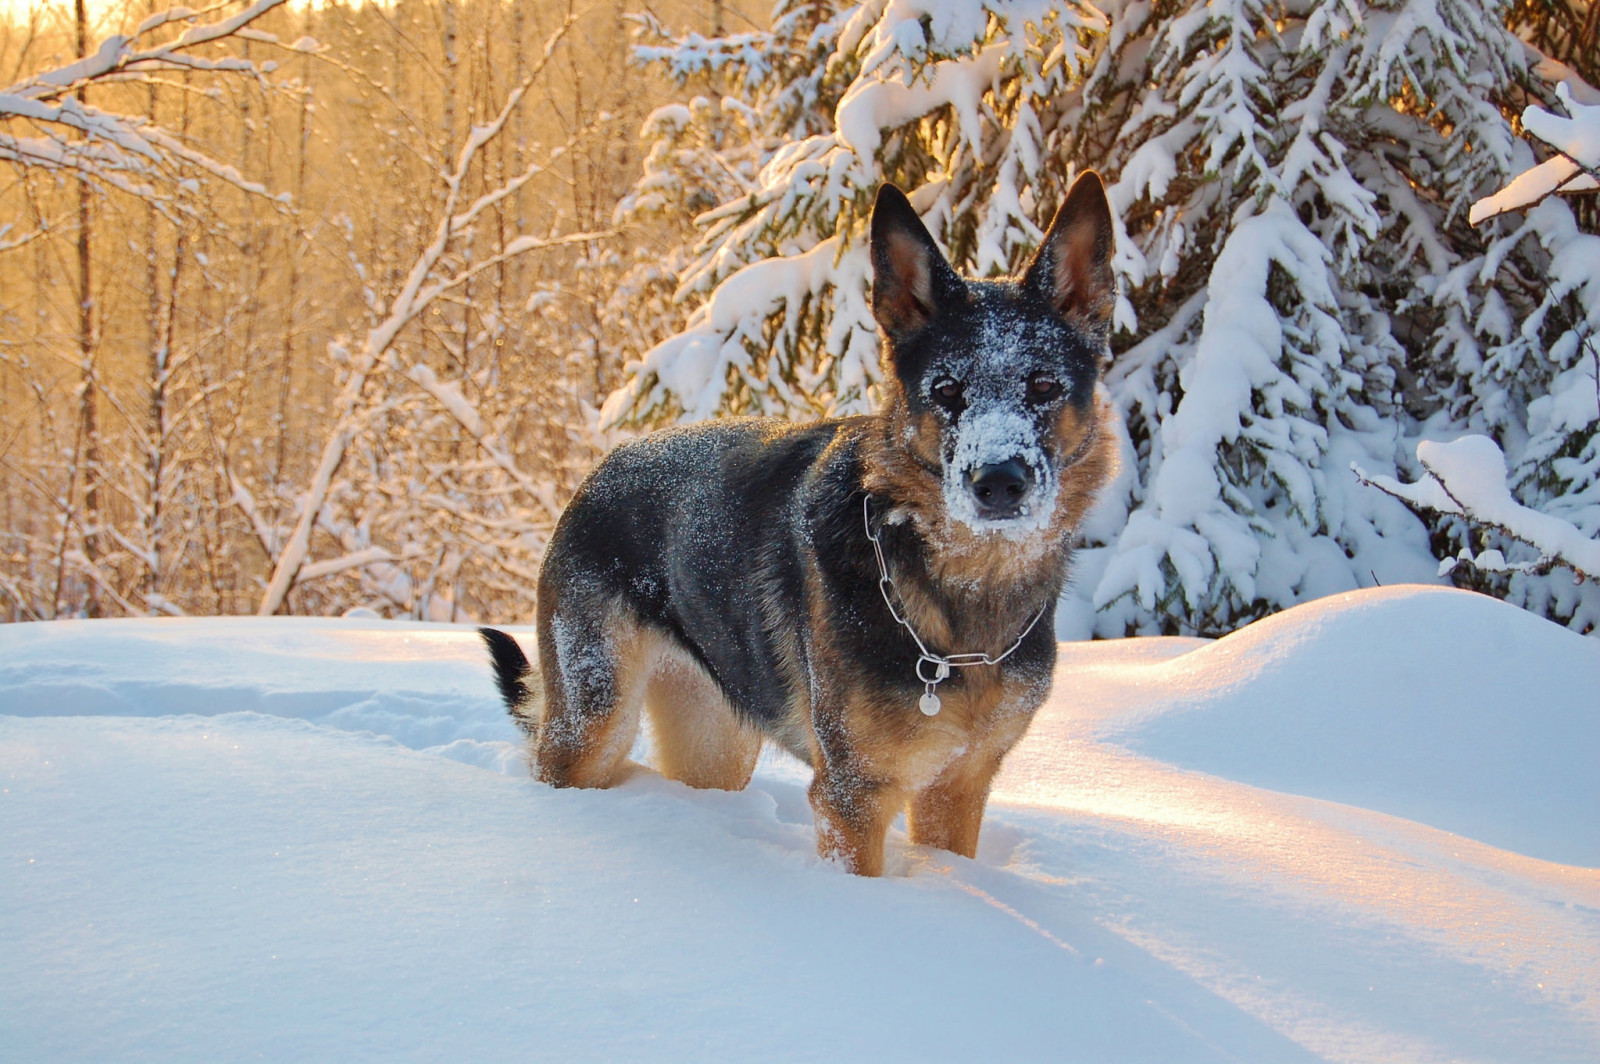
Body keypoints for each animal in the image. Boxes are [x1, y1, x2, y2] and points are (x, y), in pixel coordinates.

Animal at [480, 172, 1120, 870]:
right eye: (948, 391)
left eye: (1043, 386)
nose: (999, 482)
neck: (962, 596)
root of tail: (601, 468)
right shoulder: (852, 798)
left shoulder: (957, 788)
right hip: (593, 725)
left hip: (717, 744)